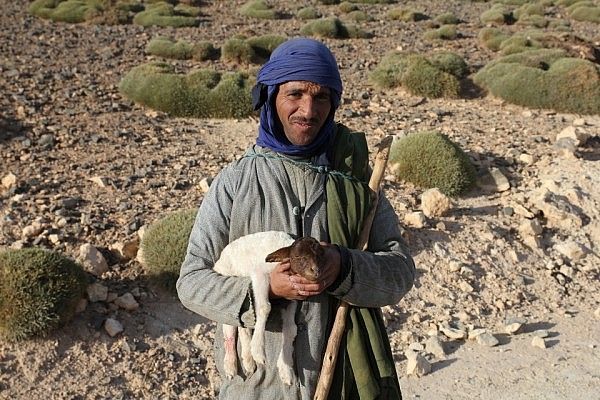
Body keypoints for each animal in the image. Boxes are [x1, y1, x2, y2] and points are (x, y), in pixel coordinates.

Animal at [213, 231, 326, 384]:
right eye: (297, 256)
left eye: (320, 255)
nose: (316, 271)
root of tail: (219, 259)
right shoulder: (260, 273)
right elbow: (264, 308)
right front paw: (258, 351)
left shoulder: (290, 299)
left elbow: (291, 328)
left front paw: (286, 369)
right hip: (227, 274)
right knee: (229, 326)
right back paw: (231, 365)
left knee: (242, 327)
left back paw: (248, 361)